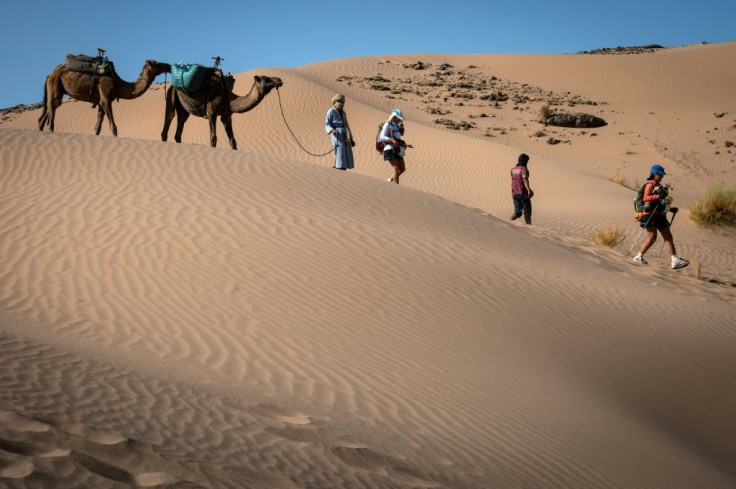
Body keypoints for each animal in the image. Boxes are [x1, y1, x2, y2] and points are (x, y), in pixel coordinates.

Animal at [39, 59, 171, 136]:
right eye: (158, 64)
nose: (169, 66)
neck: (118, 84)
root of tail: (49, 74)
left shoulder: (100, 103)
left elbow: (97, 127)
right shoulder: (106, 99)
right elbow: (113, 127)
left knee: (45, 113)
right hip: (55, 83)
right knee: (53, 106)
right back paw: (51, 130)